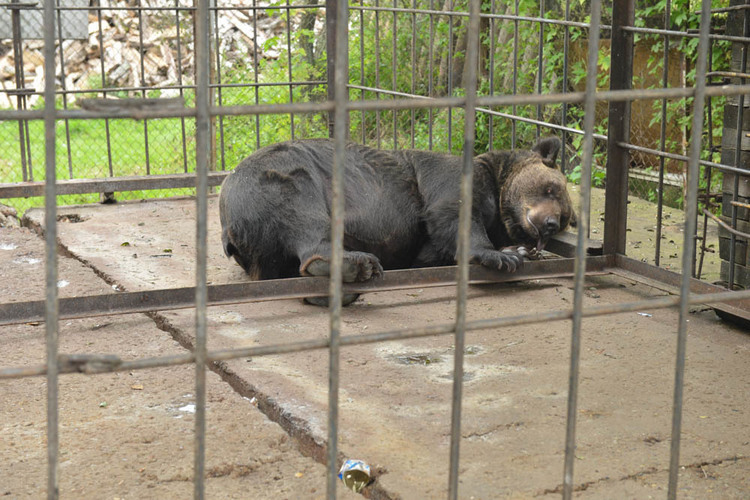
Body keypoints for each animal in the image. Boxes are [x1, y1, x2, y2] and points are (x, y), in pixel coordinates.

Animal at [219, 137, 576, 304]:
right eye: (551, 187)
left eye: (565, 217)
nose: (549, 223)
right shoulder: (447, 178)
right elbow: (453, 213)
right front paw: (502, 256)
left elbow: (430, 253)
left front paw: (515, 250)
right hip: (278, 177)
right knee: (302, 214)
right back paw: (353, 267)